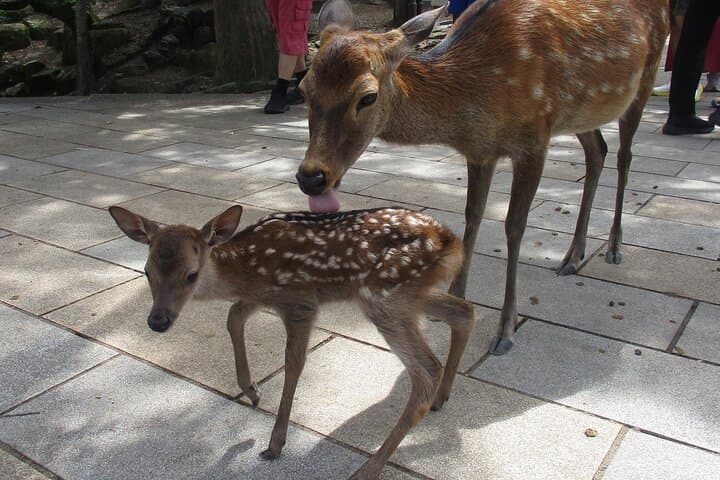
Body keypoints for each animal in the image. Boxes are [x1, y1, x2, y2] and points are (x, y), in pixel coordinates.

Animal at [108, 204, 475, 480]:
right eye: (146, 271)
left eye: (191, 275)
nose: (157, 321)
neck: (244, 270)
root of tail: (450, 241)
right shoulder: (261, 296)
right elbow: (233, 317)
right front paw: (252, 391)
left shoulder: (299, 301)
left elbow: (293, 364)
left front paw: (275, 443)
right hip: (407, 296)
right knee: (463, 312)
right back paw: (442, 397)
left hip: (383, 296)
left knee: (427, 367)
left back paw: (369, 468)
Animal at [294, 0, 669, 355]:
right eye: (303, 89)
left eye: (367, 96)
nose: (311, 177)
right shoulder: (480, 151)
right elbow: (472, 216)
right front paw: (455, 297)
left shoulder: (535, 138)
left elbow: (514, 226)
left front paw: (506, 330)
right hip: (582, 113)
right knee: (598, 152)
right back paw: (573, 255)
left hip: (645, 78)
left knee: (624, 155)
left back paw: (614, 247)